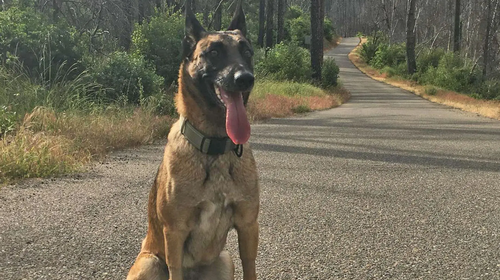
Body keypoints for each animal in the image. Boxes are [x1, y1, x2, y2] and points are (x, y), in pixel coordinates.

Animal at [125, 2, 260, 280]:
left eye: (247, 52)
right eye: (214, 52)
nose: (245, 78)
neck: (216, 146)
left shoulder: (249, 226)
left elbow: (250, 266)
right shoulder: (174, 232)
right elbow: (175, 266)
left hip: (225, 260)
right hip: (149, 264)